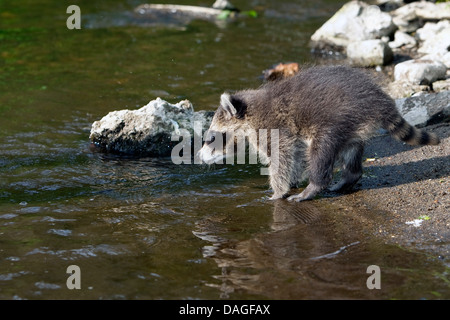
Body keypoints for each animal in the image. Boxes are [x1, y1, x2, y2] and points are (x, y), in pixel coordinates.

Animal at [197, 65, 440, 201]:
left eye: (210, 138)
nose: (198, 156)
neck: (249, 113)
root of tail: (378, 99)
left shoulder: (272, 128)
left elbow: (280, 158)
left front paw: (278, 191)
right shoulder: (288, 135)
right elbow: (293, 156)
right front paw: (292, 181)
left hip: (334, 120)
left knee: (320, 152)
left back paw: (314, 186)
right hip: (351, 124)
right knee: (351, 150)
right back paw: (350, 177)